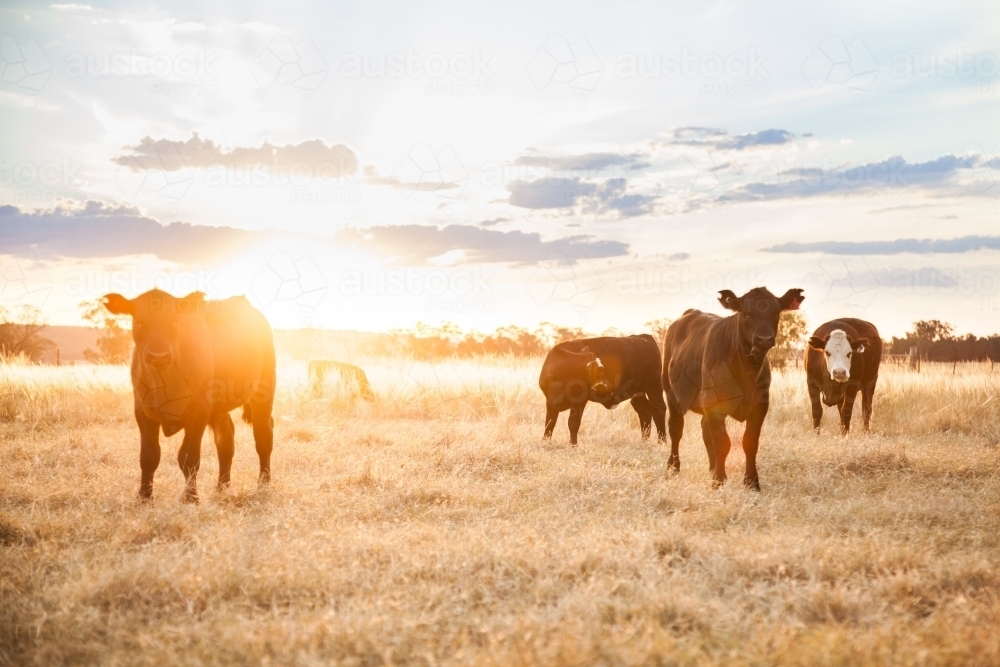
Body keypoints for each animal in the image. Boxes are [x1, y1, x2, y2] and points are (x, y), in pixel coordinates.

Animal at [103, 290, 276, 504]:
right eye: (138, 322)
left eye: (176, 321)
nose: (159, 356)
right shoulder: (143, 412)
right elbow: (149, 456)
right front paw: (144, 497)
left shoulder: (198, 412)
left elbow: (189, 457)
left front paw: (190, 497)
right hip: (218, 408)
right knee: (226, 440)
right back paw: (222, 486)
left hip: (263, 392)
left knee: (263, 436)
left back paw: (264, 483)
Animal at [664, 288, 804, 490]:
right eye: (746, 314)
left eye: (776, 313)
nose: (764, 339)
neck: (747, 371)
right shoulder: (714, 405)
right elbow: (723, 443)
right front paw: (719, 481)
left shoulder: (760, 407)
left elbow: (750, 442)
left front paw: (751, 482)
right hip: (671, 395)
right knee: (676, 429)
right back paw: (673, 468)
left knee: (705, 431)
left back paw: (712, 468)